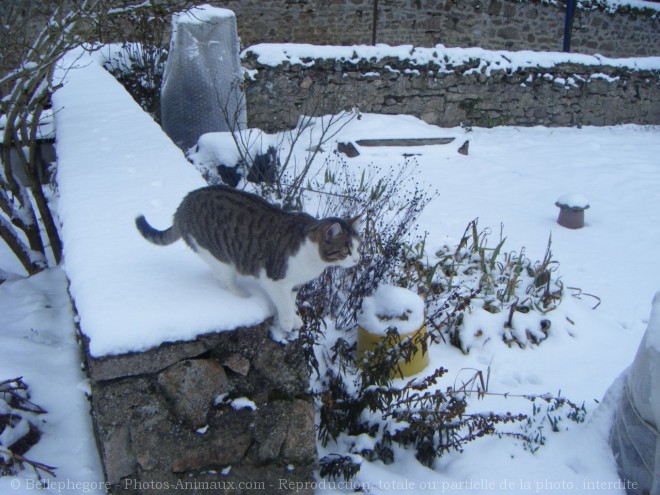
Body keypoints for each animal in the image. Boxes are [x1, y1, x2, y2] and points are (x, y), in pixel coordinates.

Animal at [135, 186, 360, 338]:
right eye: (346, 251)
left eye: (359, 247)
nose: (358, 259)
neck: (313, 260)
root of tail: (183, 205)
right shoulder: (276, 281)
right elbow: (285, 305)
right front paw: (287, 323)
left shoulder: (295, 284)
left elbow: (292, 301)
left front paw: (296, 318)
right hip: (219, 255)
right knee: (225, 281)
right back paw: (243, 294)